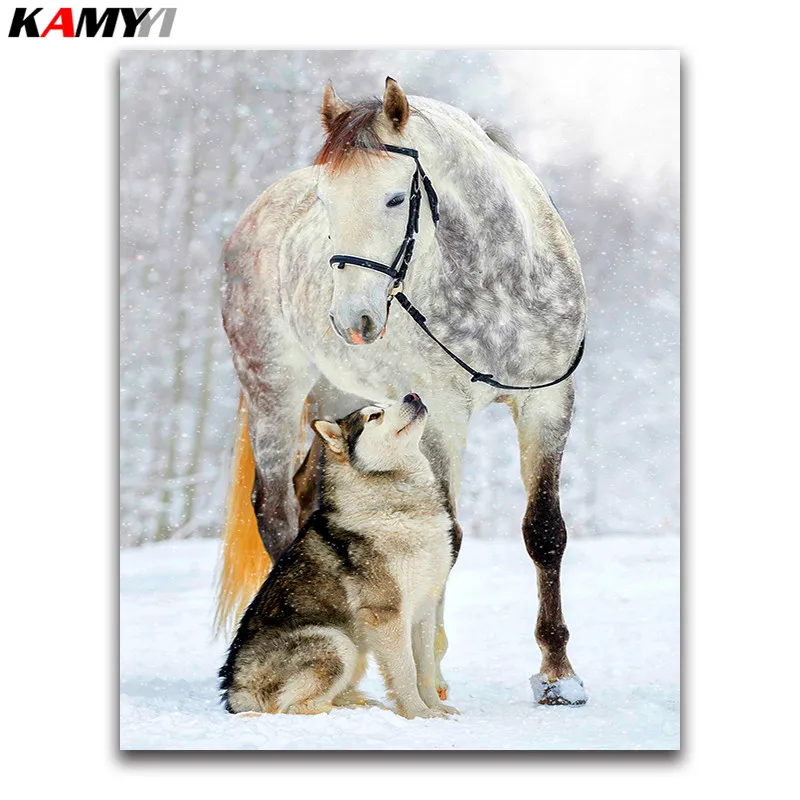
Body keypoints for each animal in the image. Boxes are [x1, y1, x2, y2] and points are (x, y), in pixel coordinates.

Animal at [216, 77, 588, 706]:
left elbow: (544, 532)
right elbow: (450, 535)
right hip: (273, 391)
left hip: (340, 402)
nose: (353, 319)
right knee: (275, 509)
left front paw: (559, 677)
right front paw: (430, 672)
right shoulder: (443, 415)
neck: (498, 281)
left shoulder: (547, 403)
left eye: (395, 199)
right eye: (325, 201)